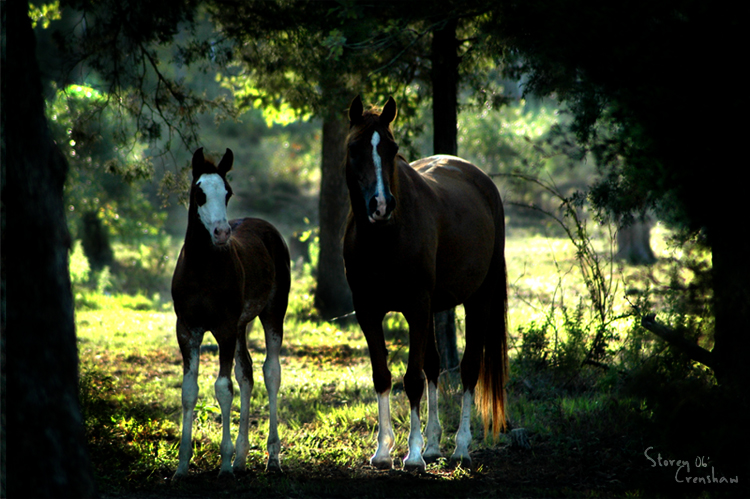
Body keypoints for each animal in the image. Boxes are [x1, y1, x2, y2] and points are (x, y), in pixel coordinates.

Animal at [174, 148, 294, 480]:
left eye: (227, 192)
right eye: (199, 192)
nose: (221, 232)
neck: (201, 270)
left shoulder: (224, 329)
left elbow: (223, 388)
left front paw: (224, 464)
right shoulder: (187, 330)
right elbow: (189, 390)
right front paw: (182, 466)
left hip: (272, 313)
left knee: (271, 372)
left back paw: (272, 457)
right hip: (242, 325)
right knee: (247, 373)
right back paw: (242, 458)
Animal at [346, 96, 512, 472]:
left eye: (391, 148)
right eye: (354, 148)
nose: (381, 205)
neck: (383, 239)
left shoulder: (416, 307)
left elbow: (412, 379)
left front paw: (413, 454)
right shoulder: (368, 310)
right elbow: (383, 375)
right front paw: (383, 451)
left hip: (478, 299)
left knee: (468, 369)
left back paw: (461, 448)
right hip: (436, 306)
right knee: (435, 366)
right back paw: (435, 445)